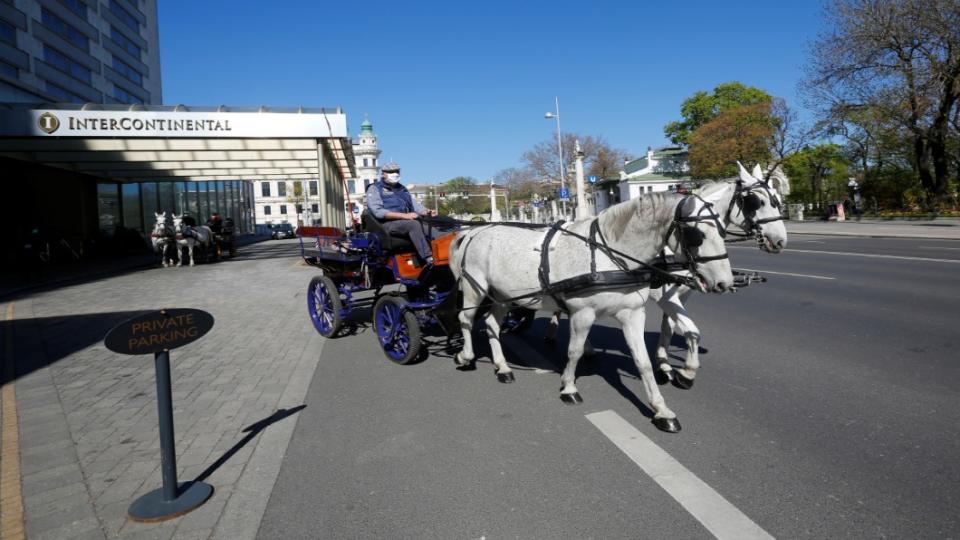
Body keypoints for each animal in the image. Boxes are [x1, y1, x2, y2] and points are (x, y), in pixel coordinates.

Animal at [450, 192, 736, 432]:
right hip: (476, 288)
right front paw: (568, 387)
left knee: (491, 323)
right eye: (696, 234)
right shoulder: (582, 313)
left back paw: (502, 367)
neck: (610, 255)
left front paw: (661, 409)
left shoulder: (633, 314)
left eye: (723, 231)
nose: (725, 283)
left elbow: (642, 361)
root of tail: (473, 232)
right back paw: (465, 356)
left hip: (502, 296)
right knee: (465, 319)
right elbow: (574, 352)